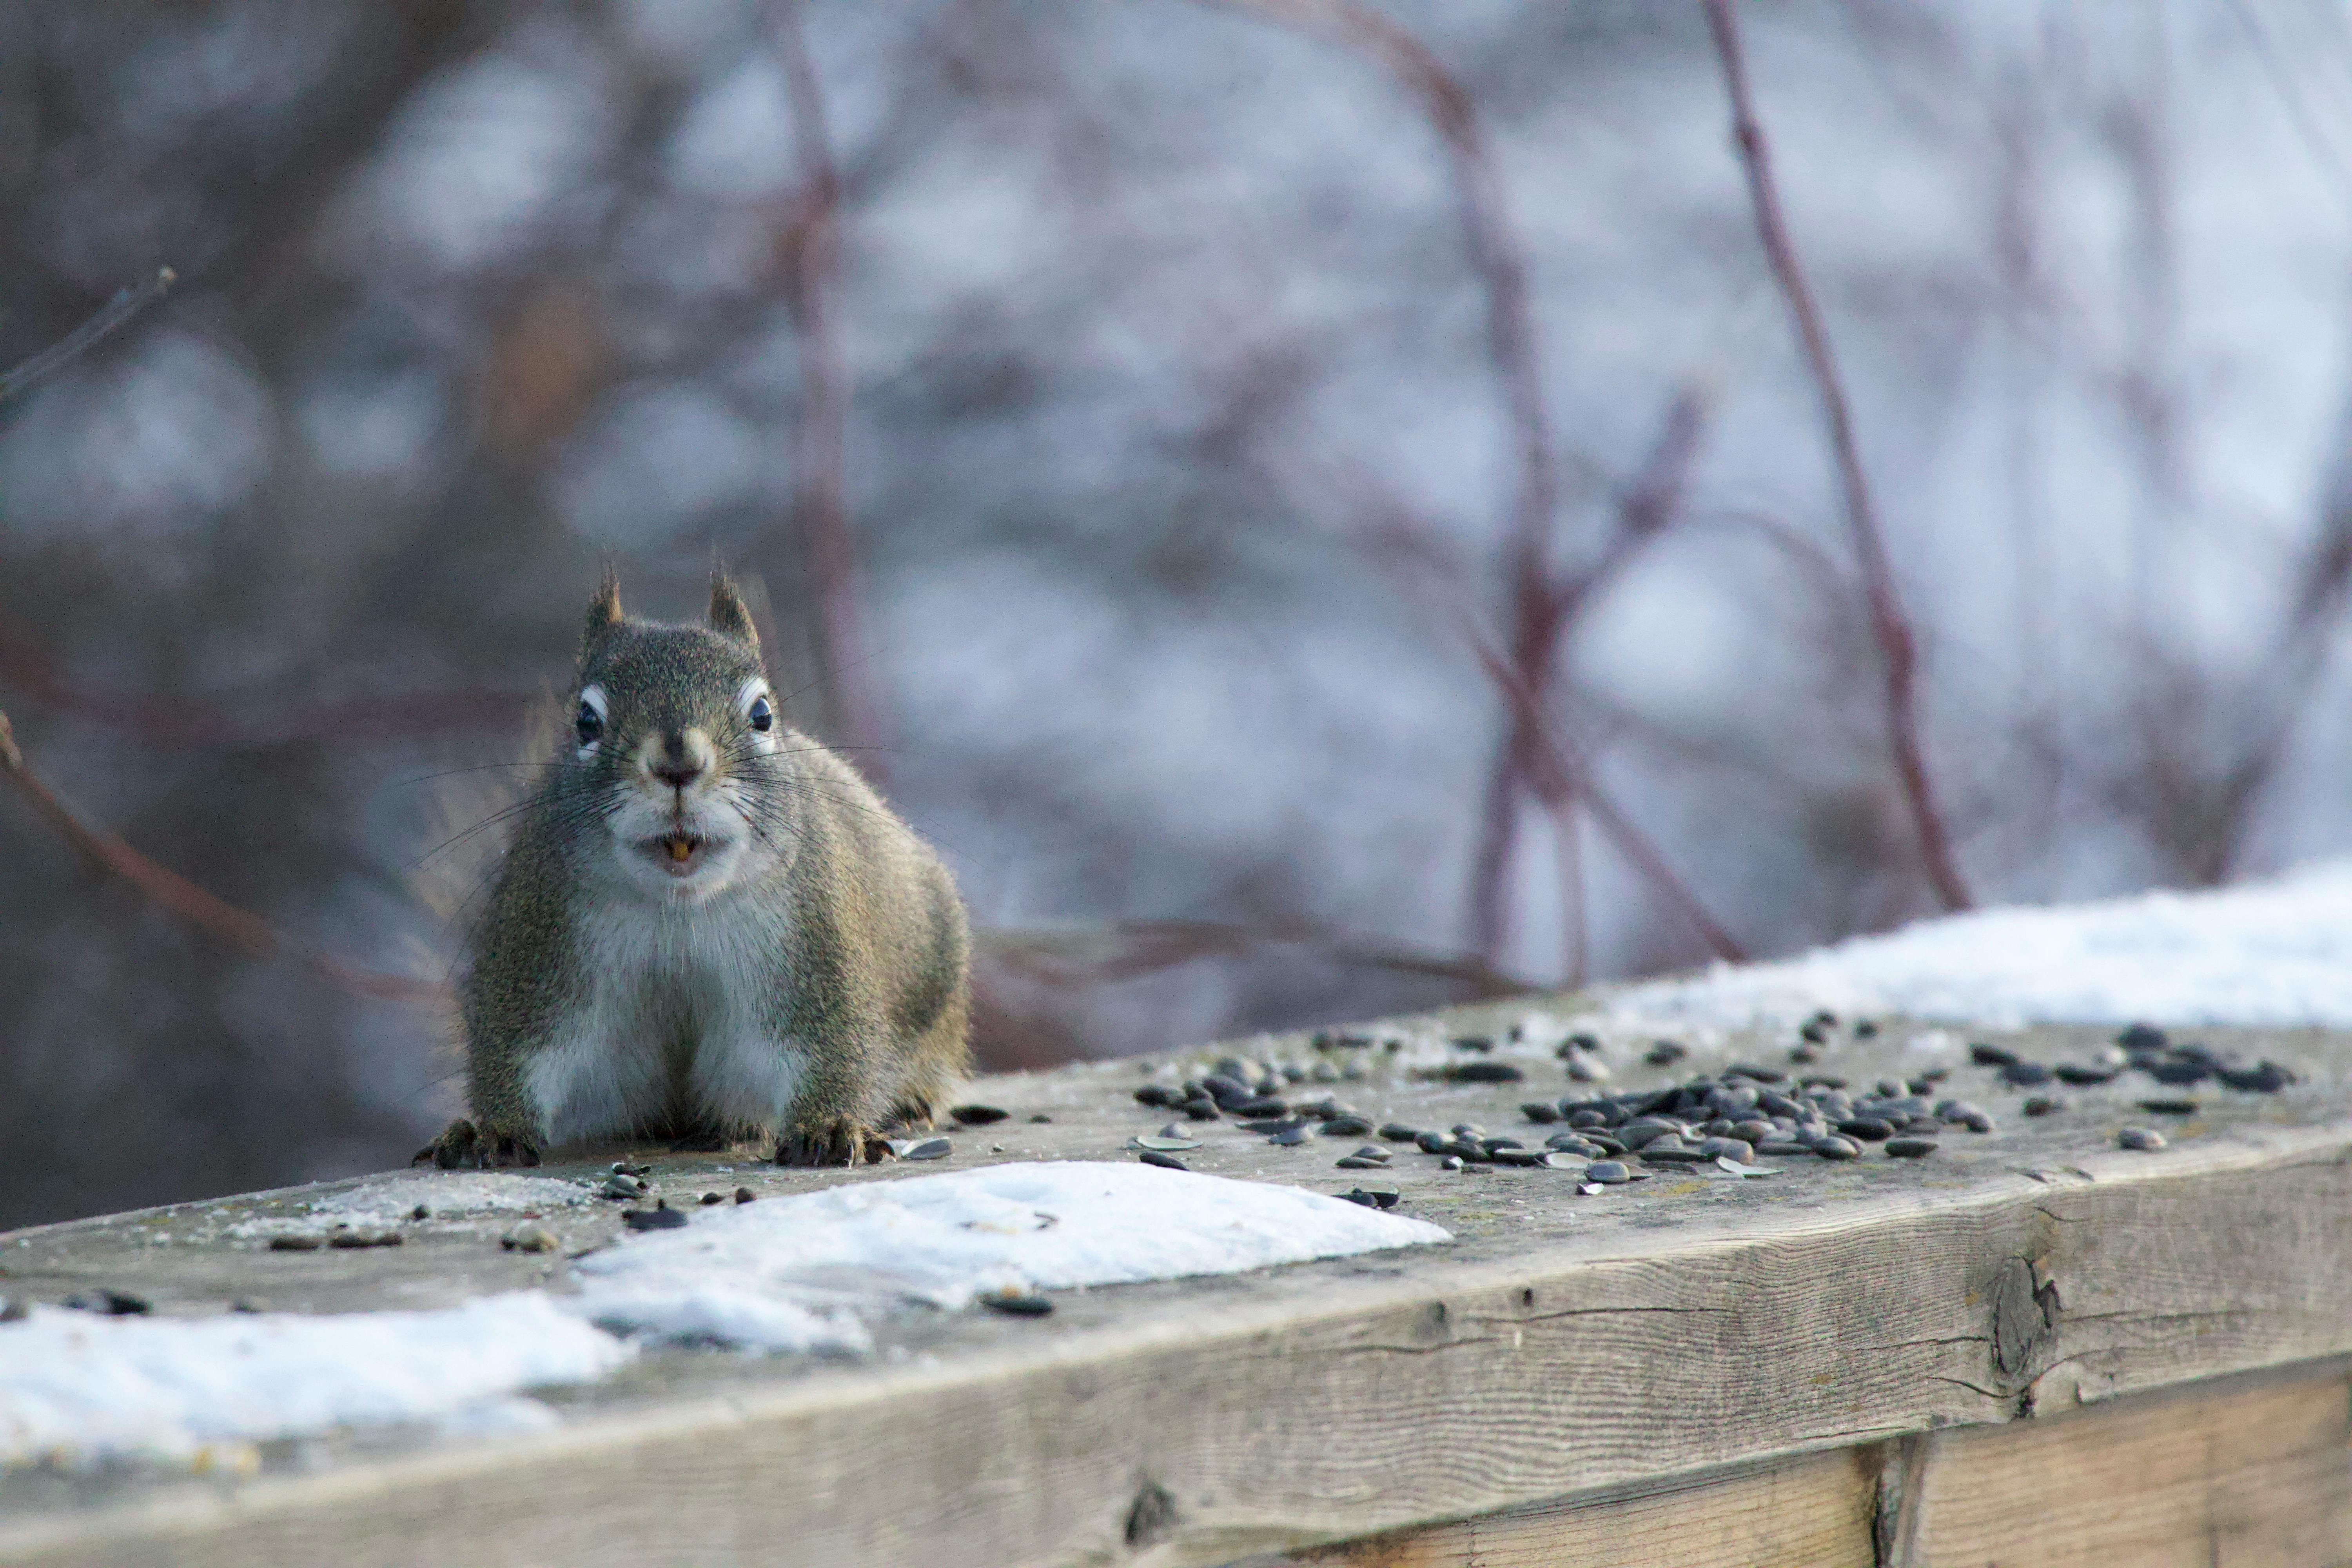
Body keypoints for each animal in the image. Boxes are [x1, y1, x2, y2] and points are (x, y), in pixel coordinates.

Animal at [414, 571, 969, 1169]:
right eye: (586, 722)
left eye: (762, 715)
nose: (678, 763)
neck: (679, 909)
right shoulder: (543, 952)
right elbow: (523, 1053)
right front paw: (491, 1130)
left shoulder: (812, 952)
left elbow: (831, 1047)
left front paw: (829, 1126)